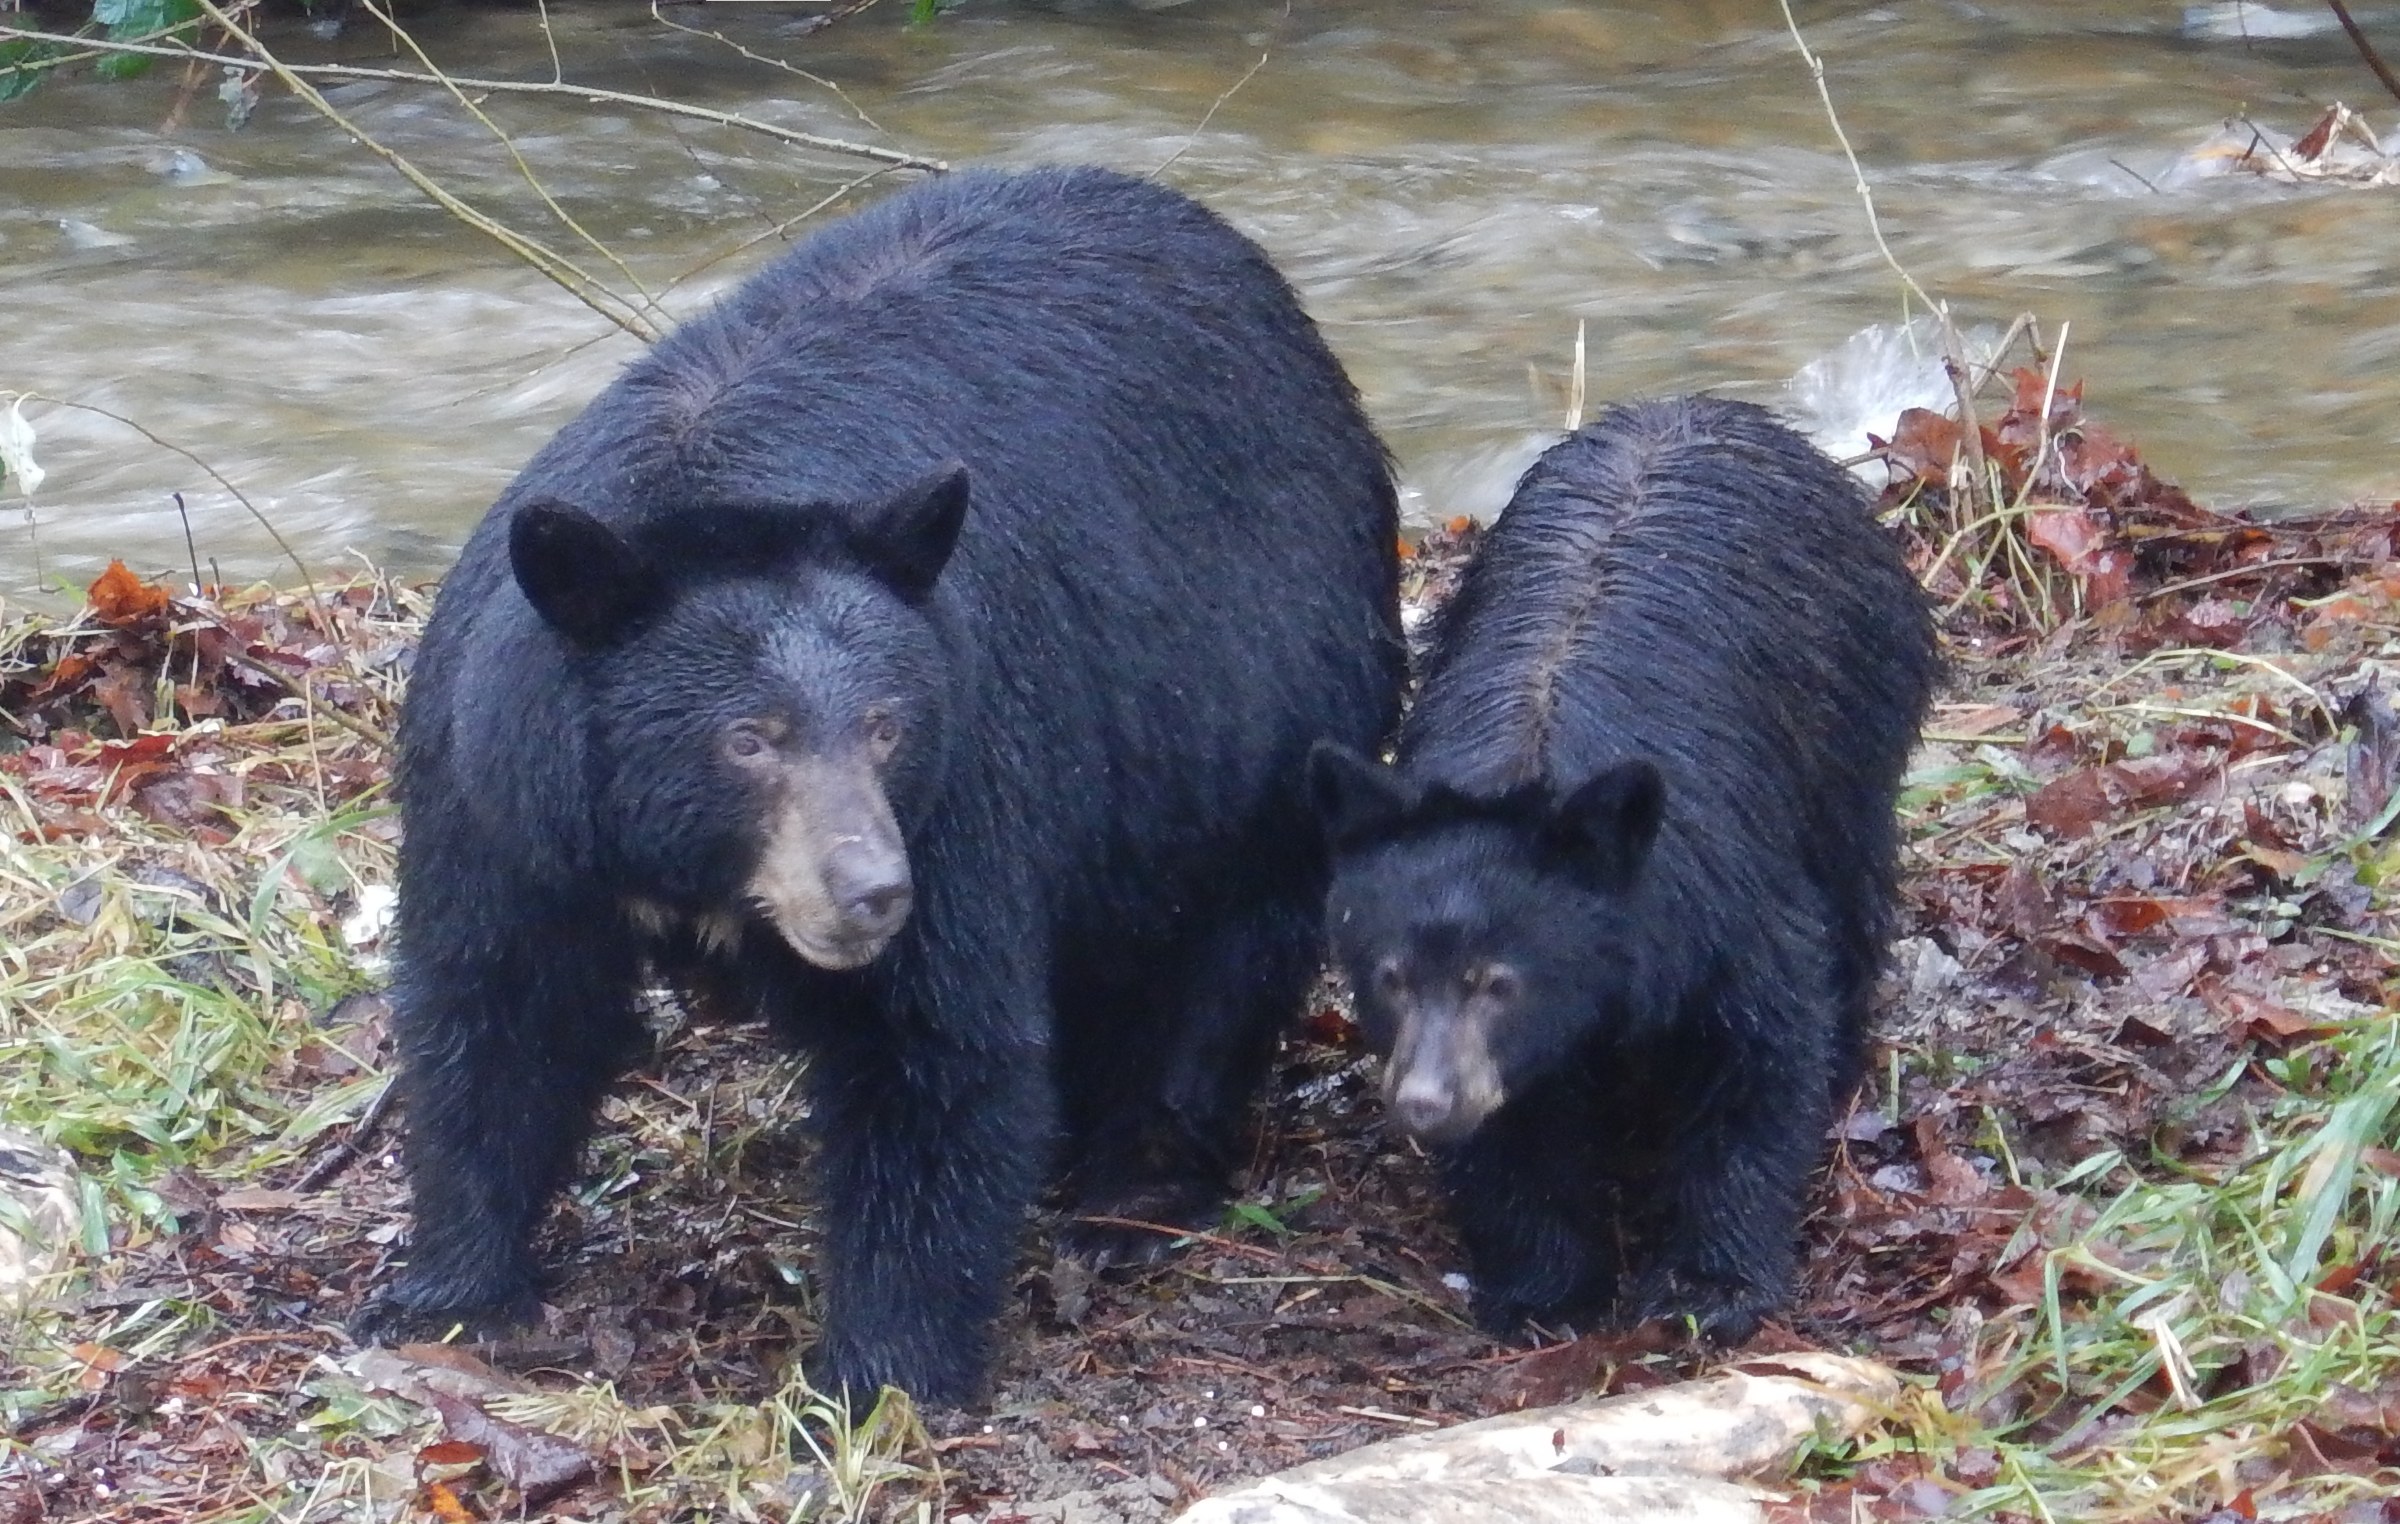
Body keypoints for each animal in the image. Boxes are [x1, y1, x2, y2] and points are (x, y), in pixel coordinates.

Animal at [362, 164, 1405, 1407]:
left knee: (1220, 946)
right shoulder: (499, 794)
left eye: (886, 727)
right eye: (748, 740)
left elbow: (933, 1051)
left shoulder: (966, 781)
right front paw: (451, 1289)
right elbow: (498, 1009)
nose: (870, 893)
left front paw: (882, 1371)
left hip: (1261, 682)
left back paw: (1135, 1191)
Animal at [1309, 396, 1937, 1342]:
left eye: (1499, 982)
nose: (1425, 1103)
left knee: (1854, 888)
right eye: (1391, 977)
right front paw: (1544, 1287)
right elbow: (1518, 1131)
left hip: (1858, 704)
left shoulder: (1723, 906)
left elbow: (1758, 1062)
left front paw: (1709, 1286)